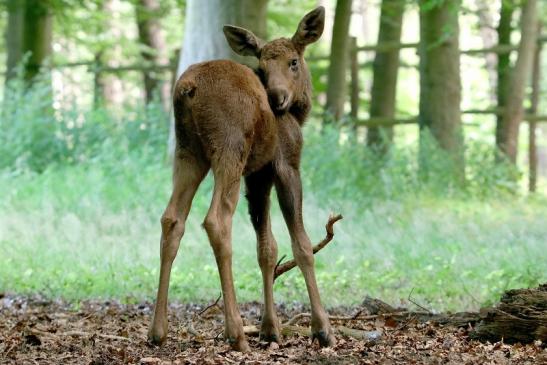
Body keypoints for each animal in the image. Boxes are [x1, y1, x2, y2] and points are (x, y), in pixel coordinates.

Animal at [148, 7, 334, 352]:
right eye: (263, 66)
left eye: (293, 61)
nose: (277, 97)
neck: (298, 115)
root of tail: (187, 88)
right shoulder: (287, 164)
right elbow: (301, 244)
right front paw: (322, 328)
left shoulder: (257, 175)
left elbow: (267, 249)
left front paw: (270, 328)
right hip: (229, 146)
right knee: (216, 220)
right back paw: (235, 331)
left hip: (187, 151)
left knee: (172, 218)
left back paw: (158, 330)